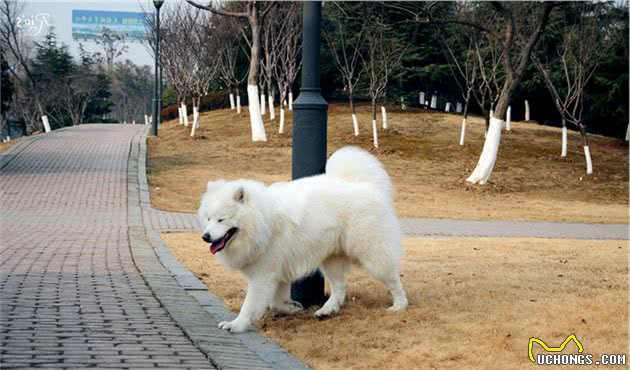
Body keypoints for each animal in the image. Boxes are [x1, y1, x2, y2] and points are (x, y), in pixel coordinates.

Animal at [200, 146, 412, 334]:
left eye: (221, 219)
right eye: (208, 218)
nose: (205, 237)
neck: (262, 221)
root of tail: (366, 185)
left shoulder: (263, 275)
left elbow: (249, 305)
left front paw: (236, 325)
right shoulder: (276, 273)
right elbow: (275, 303)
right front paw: (293, 308)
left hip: (372, 254)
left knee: (392, 279)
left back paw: (399, 305)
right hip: (330, 258)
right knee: (340, 286)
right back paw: (327, 311)